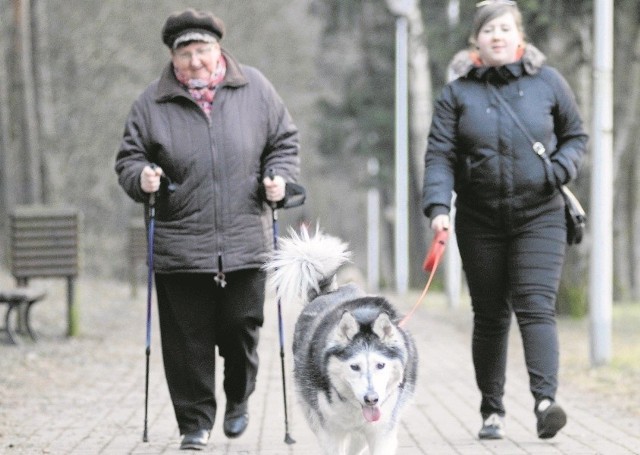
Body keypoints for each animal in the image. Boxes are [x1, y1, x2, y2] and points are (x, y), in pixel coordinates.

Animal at [262, 228, 418, 455]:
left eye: (380, 365)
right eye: (354, 366)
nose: (371, 399)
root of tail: (326, 292)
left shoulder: (382, 430)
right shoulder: (330, 430)